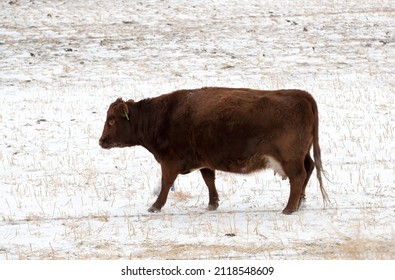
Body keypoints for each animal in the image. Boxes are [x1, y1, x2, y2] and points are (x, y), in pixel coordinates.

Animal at [100, 87, 332, 214]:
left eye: (111, 120)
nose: (101, 141)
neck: (162, 116)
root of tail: (301, 95)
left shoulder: (169, 162)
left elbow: (166, 183)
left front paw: (155, 206)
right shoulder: (204, 160)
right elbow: (209, 179)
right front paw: (213, 203)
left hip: (290, 158)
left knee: (298, 176)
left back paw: (289, 208)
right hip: (301, 155)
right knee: (308, 169)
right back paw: (300, 201)